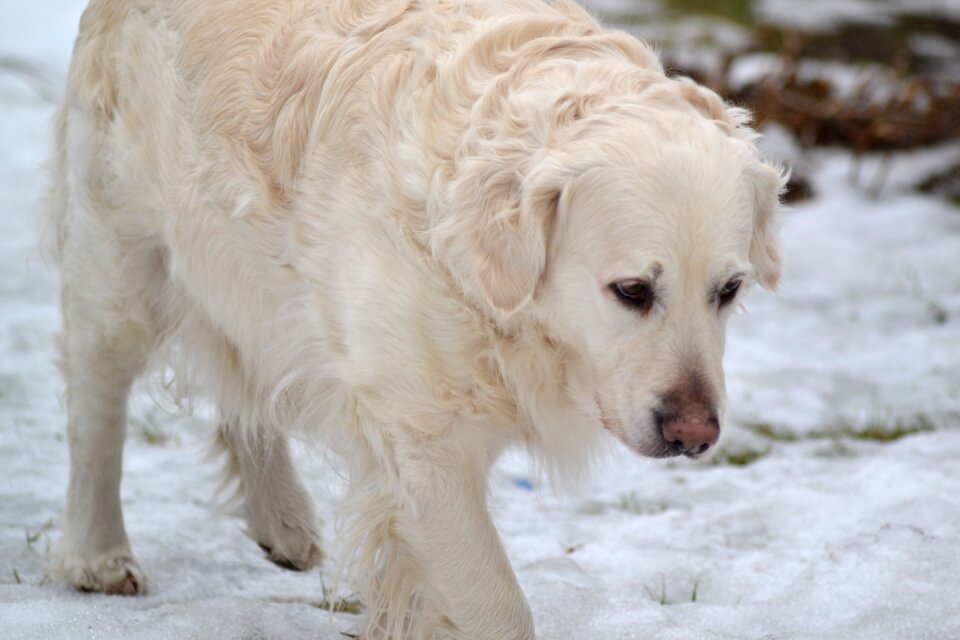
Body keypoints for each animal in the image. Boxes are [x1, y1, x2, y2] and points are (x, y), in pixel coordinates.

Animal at [47, 0, 780, 636]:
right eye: (631, 290)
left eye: (729, 289)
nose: (695, 434)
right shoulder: (428, 445)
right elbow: (497, 610)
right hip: (121, 264)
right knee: (95, 410)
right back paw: (98, 553)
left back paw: (283, 518)